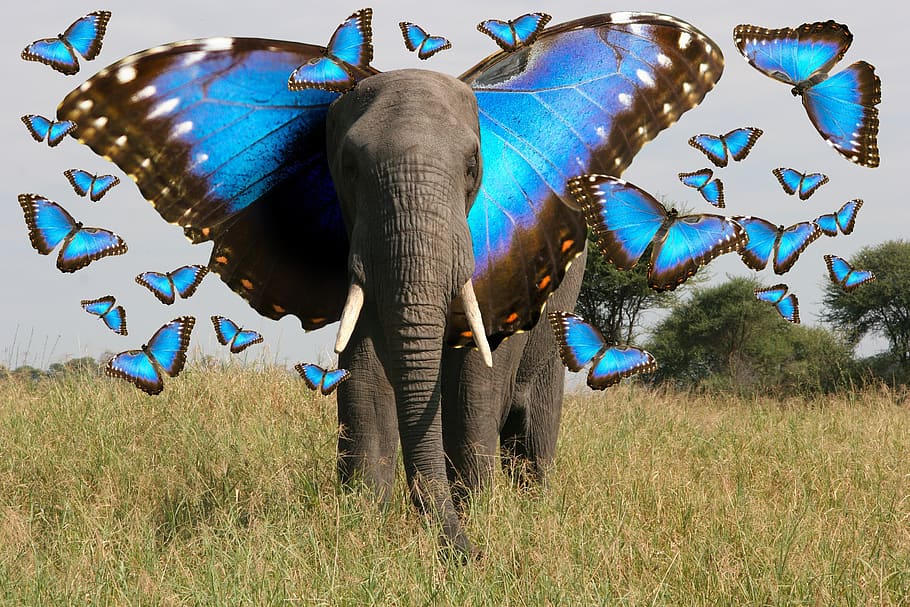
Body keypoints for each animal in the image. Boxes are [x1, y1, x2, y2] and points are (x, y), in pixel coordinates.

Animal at [56, 11, 724, 555]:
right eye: (348, 168)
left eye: (474, 168)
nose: (469, 557)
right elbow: (363, 371)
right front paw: (365, 524)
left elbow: (475, 378)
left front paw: (477, 519)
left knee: (533, 419)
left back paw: (526, 501)